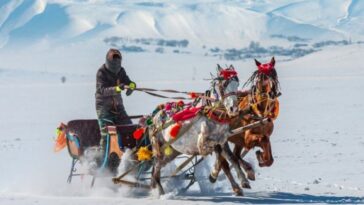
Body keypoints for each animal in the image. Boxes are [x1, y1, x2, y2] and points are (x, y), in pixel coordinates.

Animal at [209, 56, 280, 195]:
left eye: (274, 73)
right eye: (261, 77)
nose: (272, 93)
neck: (259, 112)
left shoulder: (264, 135)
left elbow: (270, 159)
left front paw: (261, 159)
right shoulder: (248, 138)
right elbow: (261, 141)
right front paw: (259, 156)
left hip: (235, 141)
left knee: (233, 156)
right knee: (226, 162)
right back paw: (232, 183)